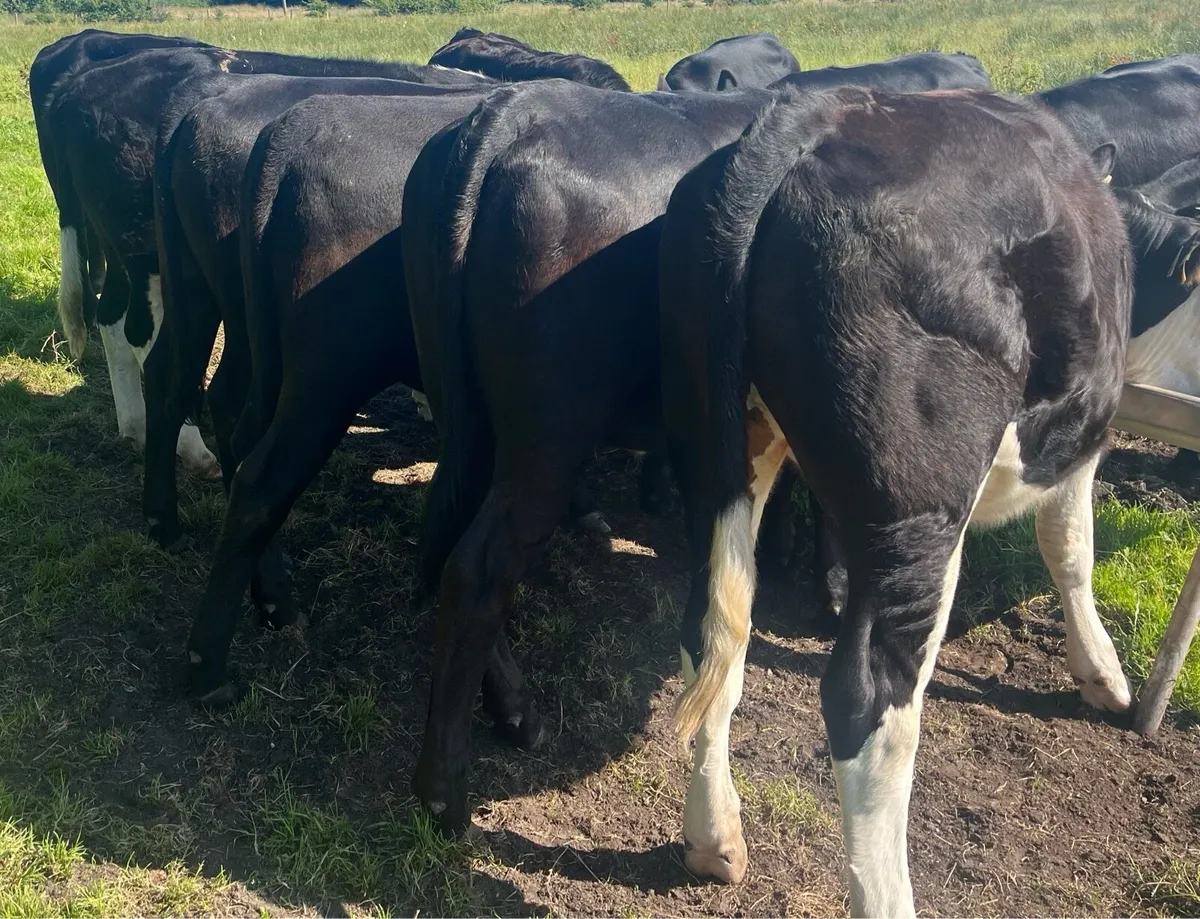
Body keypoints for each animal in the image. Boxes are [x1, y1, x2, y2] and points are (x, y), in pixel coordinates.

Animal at [658, 86, 1132, 915]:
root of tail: (804, 124)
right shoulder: (1078, 442)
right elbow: (1071, 546)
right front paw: (1101, 670)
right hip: (919, 511)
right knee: (871, 703)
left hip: (715, 452)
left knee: (713, 628)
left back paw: (715, 837)